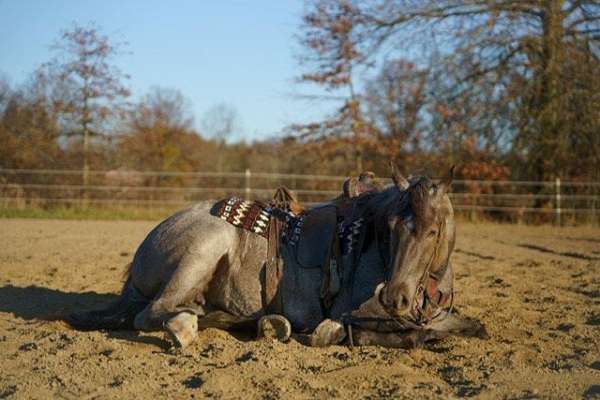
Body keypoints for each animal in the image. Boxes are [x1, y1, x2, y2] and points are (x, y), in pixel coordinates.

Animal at [67, 165, 488, 346]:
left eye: (432, 230)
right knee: (152, 312)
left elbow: (471, 327)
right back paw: (186, 327)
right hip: (204, 249)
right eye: (391, 227)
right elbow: (405, 334)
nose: (395, 297)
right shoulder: (355, 313)